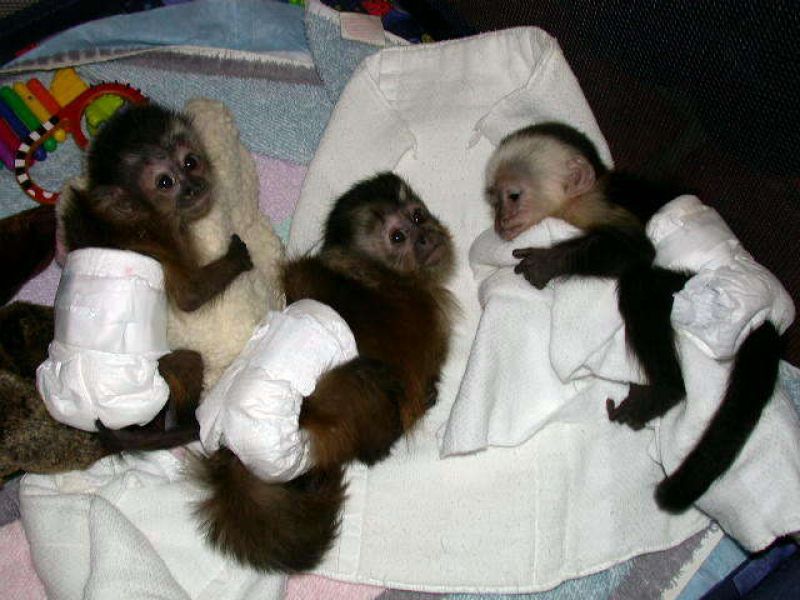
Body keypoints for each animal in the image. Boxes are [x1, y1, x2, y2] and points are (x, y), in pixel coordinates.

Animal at [191, 172, 455, 572]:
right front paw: (427, 395)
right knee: (368, 380)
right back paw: (380, 443)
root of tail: (235, 452)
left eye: (417, 215)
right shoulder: (418, 317)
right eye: (398, 237)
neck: (378, 275)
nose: (425, 235)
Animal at [485, 122, 782, 512]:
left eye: (514, 196)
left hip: (703, 285)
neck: (582, 198)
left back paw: (666, 390)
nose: (500, 220)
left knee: (640, 285)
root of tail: (766, 316)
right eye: (494, 199)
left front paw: (549, 262)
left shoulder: (597, 204)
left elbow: (637, 250)